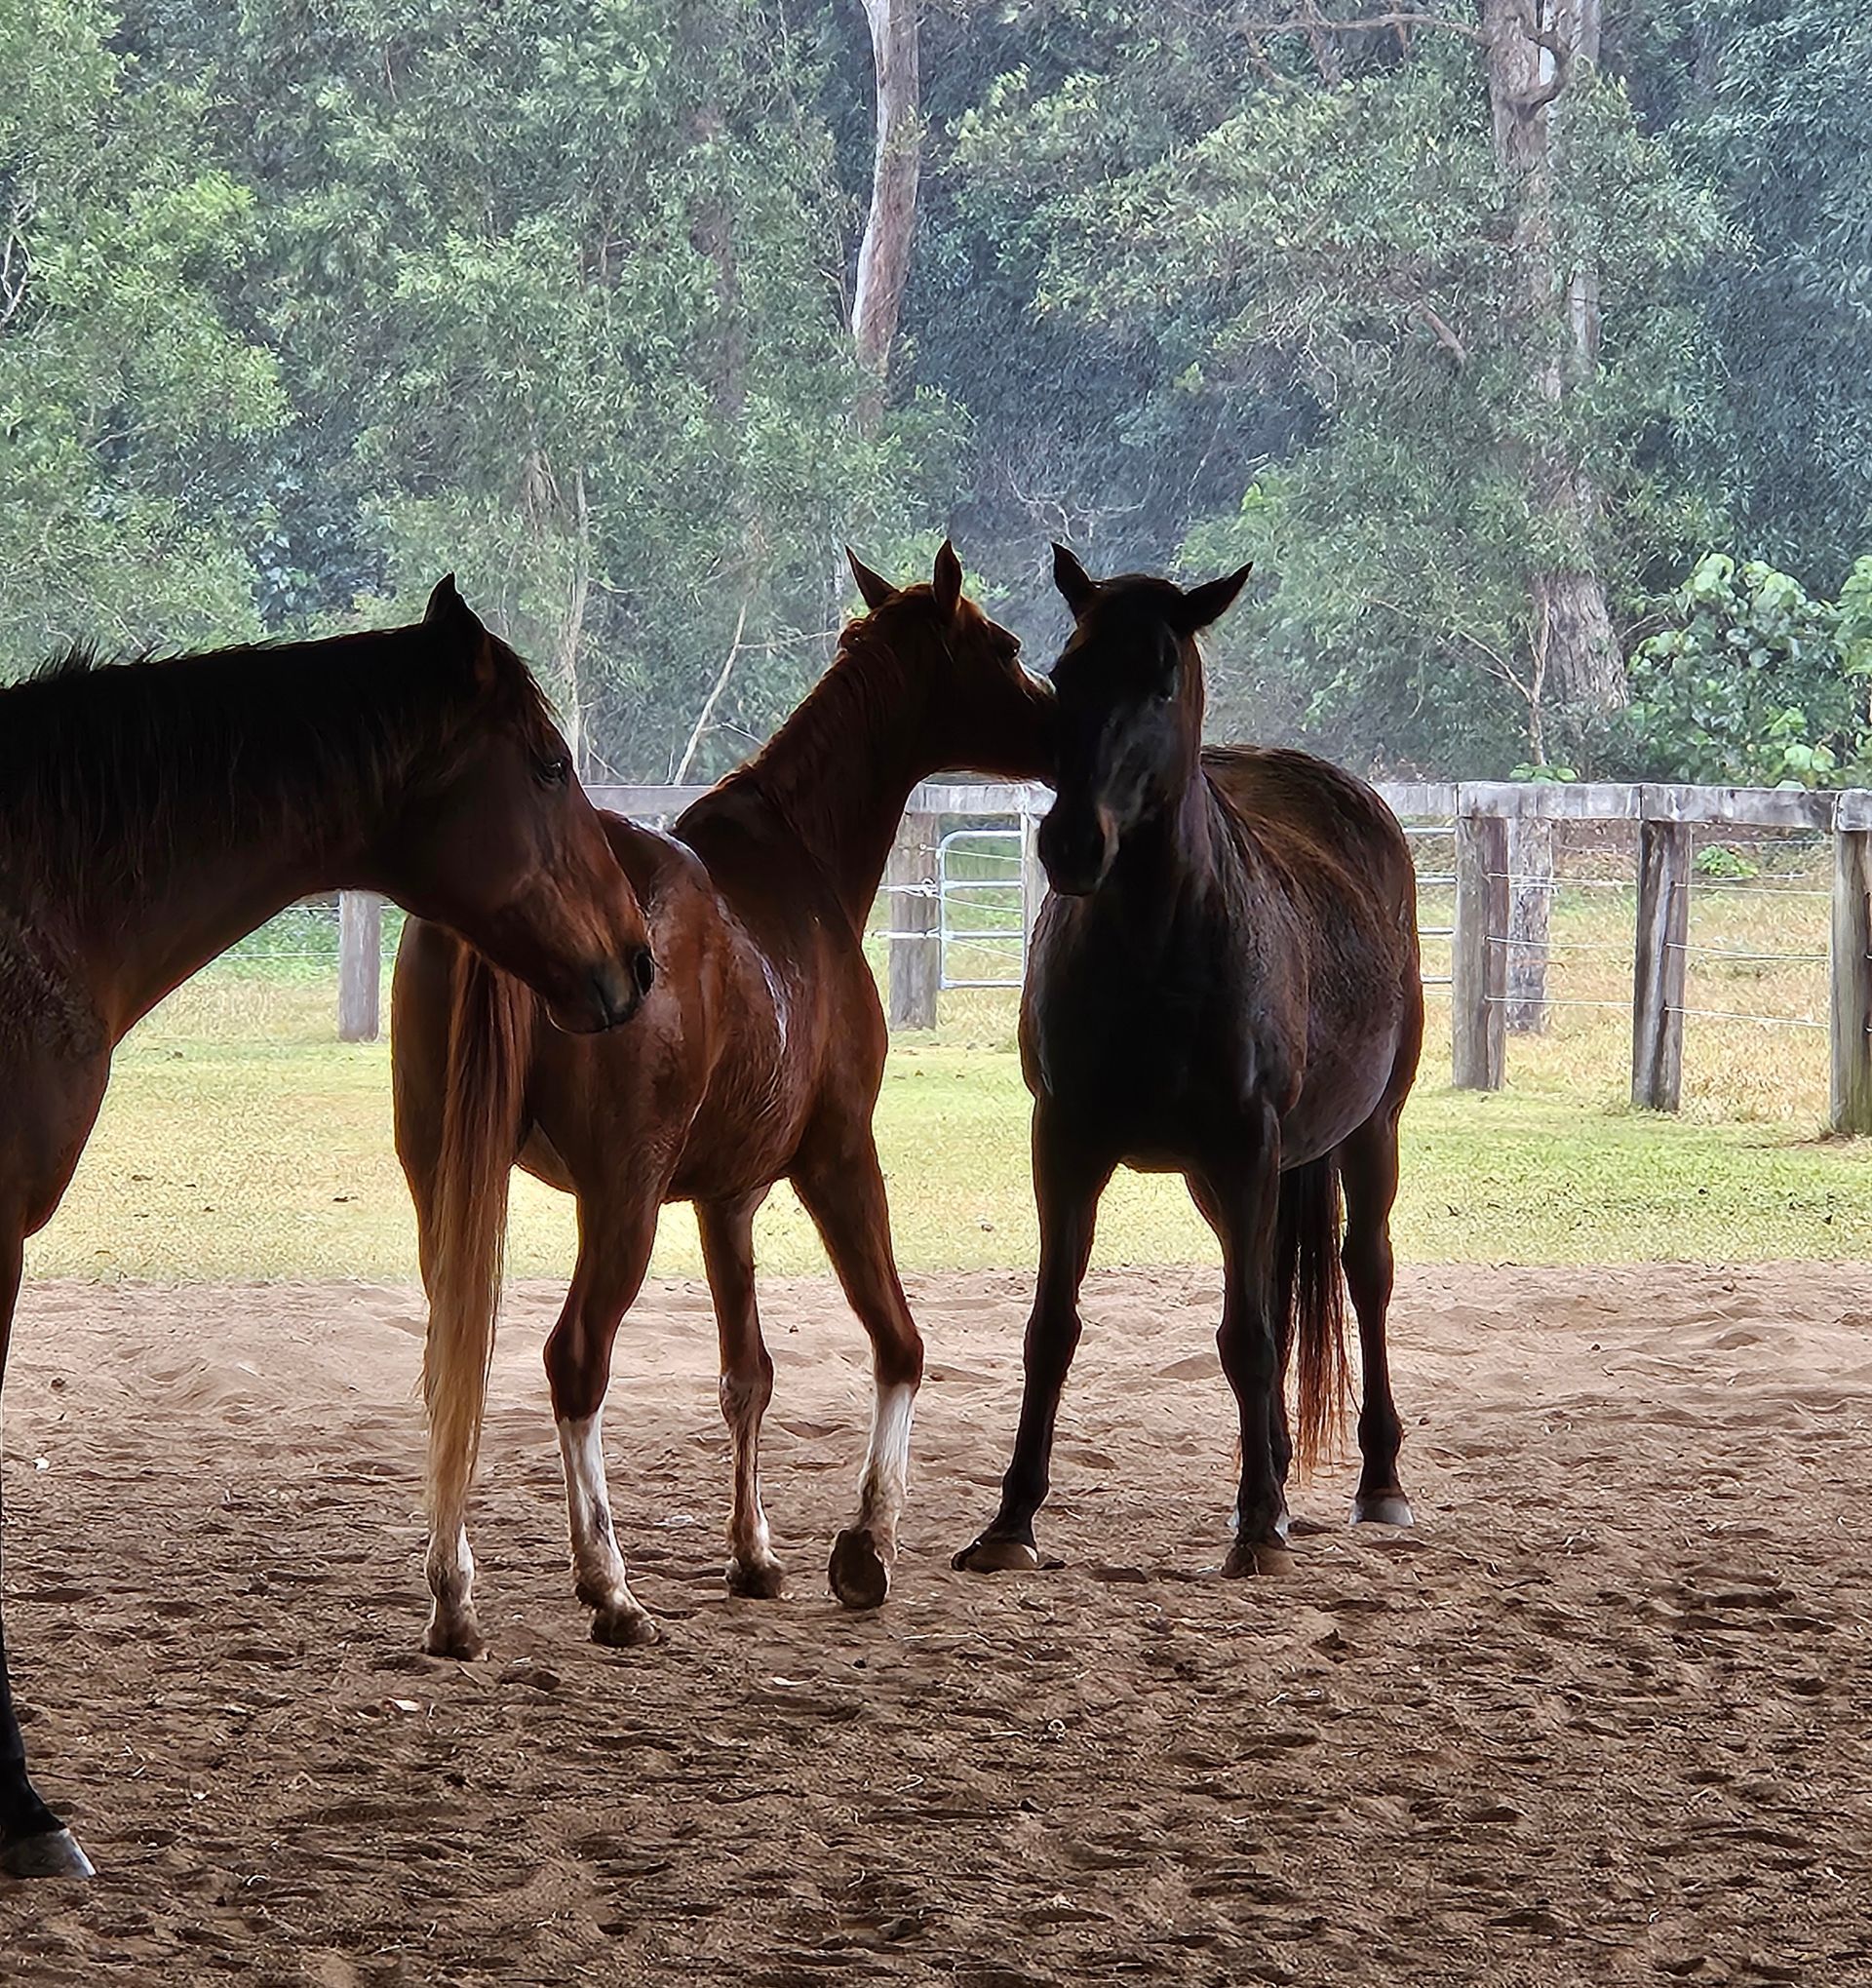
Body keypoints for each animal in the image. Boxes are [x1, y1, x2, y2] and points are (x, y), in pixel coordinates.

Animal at [394, 542, 1053, 1659]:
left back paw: (455, 1594)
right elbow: (899, 1340)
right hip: (621, 1199)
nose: (1064, 717)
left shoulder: (725, 1198)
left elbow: (749, 1373)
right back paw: (609, 1586)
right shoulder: (839, 1158)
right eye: (1002, 647)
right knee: (576, 1360)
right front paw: (866, 1543)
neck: (795, 867)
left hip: (449, 1181)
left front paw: (755, 1554)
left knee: (456, 1363)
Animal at [952, 546, 1421, 1581]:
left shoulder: (1246, 1146)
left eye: (1163, 678)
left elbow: (1245, 1334)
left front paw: (1258, 1526)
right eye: (1066, 669)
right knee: (1269, 1283)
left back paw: (1375, 1481)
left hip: (1368, 1132)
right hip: (1230, 1178)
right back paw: (1274, 1470)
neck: (1155, 946)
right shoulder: (1067, 1143)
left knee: (1362, 1272)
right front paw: (1011, 1521)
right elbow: (1053, 1328)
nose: (1071, 843)